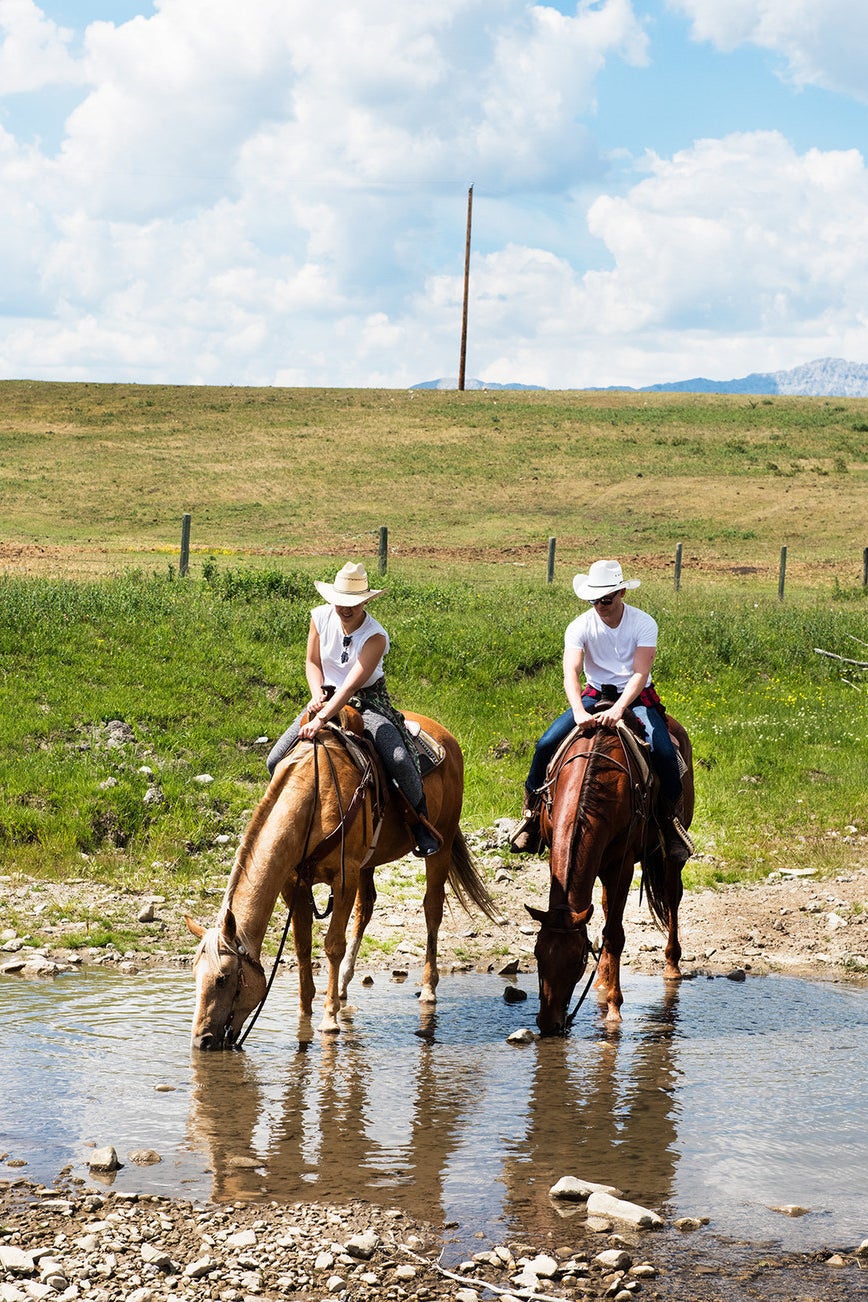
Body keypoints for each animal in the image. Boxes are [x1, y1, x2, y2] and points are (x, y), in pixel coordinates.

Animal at [184, 713, 494, 1046]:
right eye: (195, 975)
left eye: (223, 978)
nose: (202, 1040)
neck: (313, 801)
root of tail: (444, 734)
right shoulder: (295, 886)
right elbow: (303, 947)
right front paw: (304, 1014)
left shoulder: (344, 879)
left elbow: (333, 944)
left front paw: (329, 1019)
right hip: (368, 863)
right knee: (366, 908)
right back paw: (345, 983)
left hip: (441, 844)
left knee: (432, 909)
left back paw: (428, 988)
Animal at [525, 713, 697, 1036]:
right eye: (538, 953)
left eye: (578, 961)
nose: (549, 1025)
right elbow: (605, 925)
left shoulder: (622, 865)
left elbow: (615, 935)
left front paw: (615, 1009)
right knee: (606, 908)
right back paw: (603, 979)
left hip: (668, 856)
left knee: (672, 898)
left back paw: (671, 966)